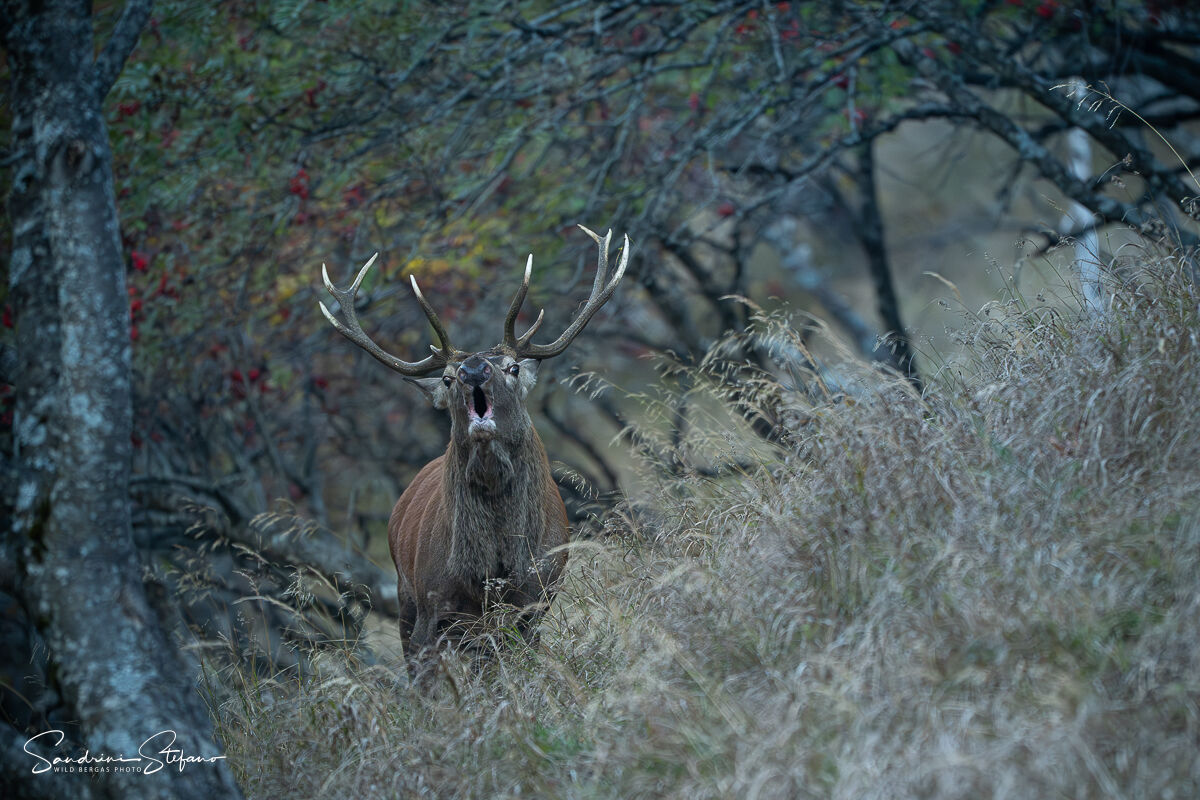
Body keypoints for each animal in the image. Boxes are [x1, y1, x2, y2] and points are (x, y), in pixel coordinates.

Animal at [319, 225, 629, 659]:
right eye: (448, 379)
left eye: (512, 368)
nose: (473, 369)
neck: (493, 568)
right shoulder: (433, 609)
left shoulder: (534, 602)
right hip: (405, 594)